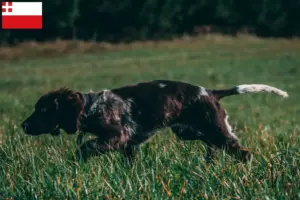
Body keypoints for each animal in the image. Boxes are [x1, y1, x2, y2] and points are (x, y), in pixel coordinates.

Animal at [21, 80, 288, 163]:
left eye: (43, 110)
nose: (23, 125)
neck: (90, 107)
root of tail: (210, 92)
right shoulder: (128, 146)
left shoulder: (118, 136)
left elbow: (86, 146)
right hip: (191, 131)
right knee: (214, 148)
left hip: (215, 130)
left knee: (244, 153)